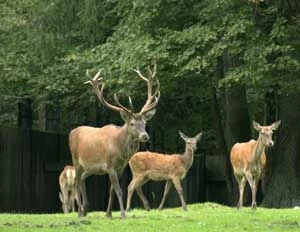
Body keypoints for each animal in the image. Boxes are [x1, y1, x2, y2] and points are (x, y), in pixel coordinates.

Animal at [69, 64, 161, 218]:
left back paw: (86, 209)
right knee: (77, 182)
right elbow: (118, 190)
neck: (121, 152)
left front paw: (109, 214)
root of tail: (71, 132)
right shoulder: (110, 165)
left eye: (144, 123)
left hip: (90, 167)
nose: (145, 136)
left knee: (82, 179)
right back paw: (80, 212)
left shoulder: (120, 168)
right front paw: (123, 214)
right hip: (76, 160)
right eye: (132, 123)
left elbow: (112, 190)